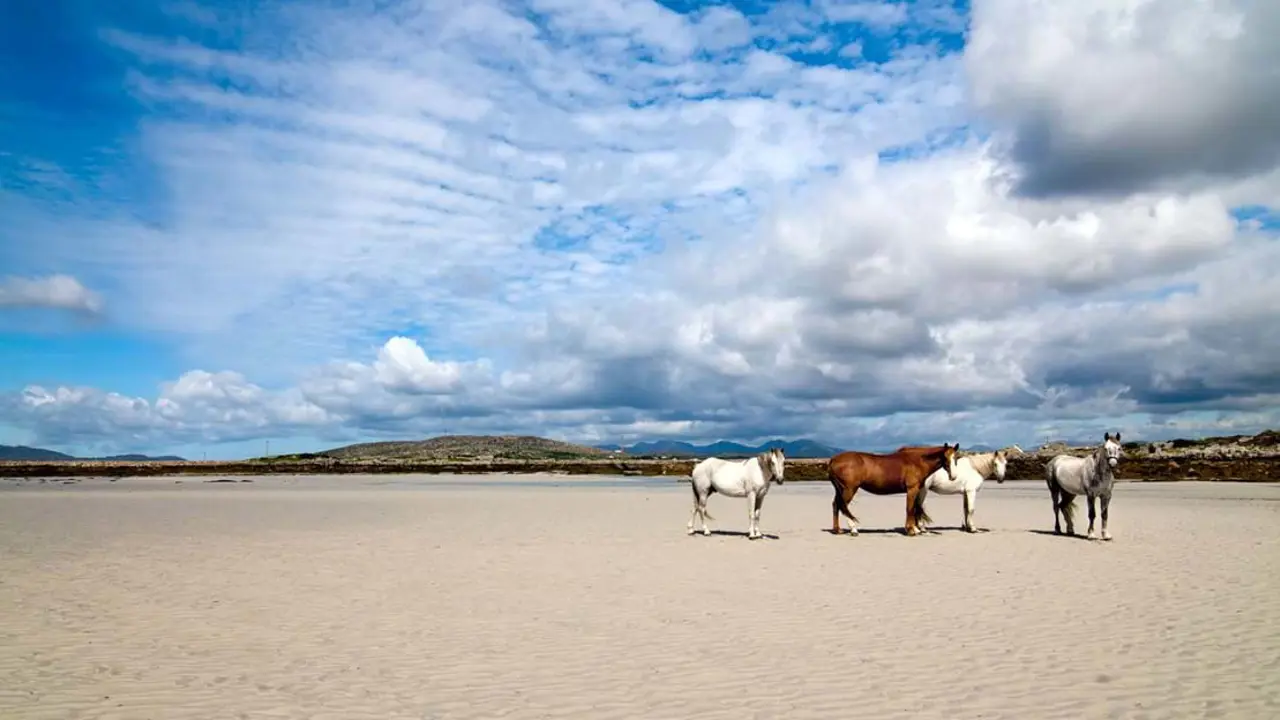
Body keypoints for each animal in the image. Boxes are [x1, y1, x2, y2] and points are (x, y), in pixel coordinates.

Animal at [829, 440, 962, 535]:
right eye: (945, 457)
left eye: (956, 458)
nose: (953, 476)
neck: (916, 462)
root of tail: (833, 459)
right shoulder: (912, 489)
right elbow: (909, 509)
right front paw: (911, 530)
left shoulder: (916, 490)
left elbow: (914, 508)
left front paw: (916, 529)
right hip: (849, 489)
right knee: (843, 506)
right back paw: (853, 529)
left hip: (841, 490)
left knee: (836, 505)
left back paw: (837, 530)